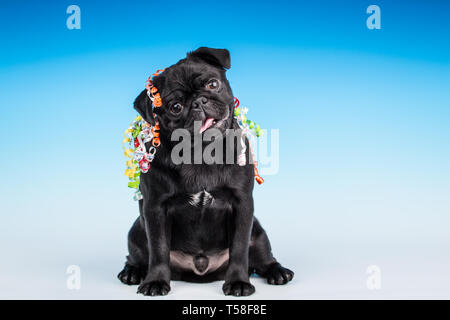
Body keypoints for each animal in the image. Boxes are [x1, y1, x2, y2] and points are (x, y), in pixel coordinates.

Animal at [118, 46, 294, 296]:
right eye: (175, 107)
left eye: (212, 84)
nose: (198, 102)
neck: (200, 153)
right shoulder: (155, 209)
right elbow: (158, 249)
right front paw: (155, 281)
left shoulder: (242, 205)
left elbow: (239, 248)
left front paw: (238, 282)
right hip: (137, 231)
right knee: (138, 253)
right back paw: (132, 271)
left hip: (258, 232)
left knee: (262, 257)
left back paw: (276, 271)